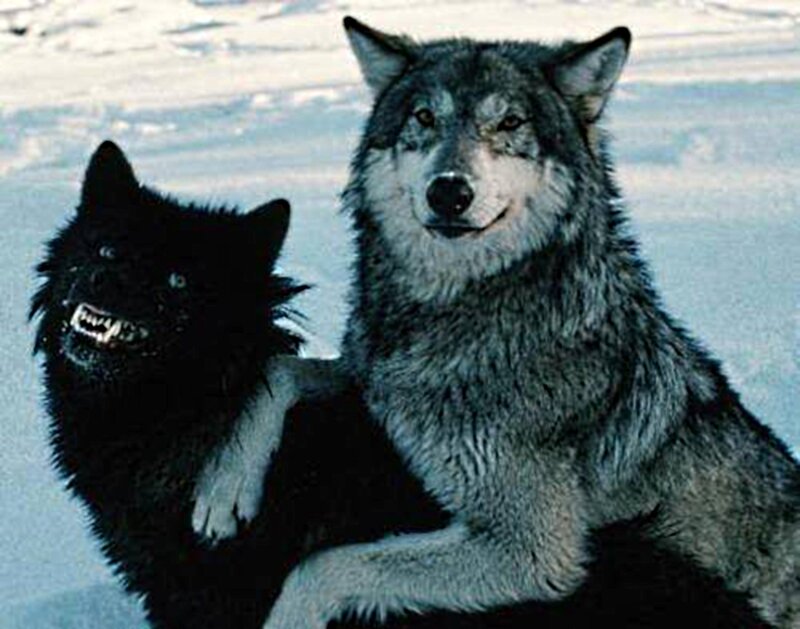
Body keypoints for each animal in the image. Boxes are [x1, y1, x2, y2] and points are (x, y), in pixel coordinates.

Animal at [193, 17, 800, 629]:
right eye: (424, 117)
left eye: (510, 123)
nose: (449, 190)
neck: (456, 312)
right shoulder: (370, 377)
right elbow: (280, 370)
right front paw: (223, 490)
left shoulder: (534, 552)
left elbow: (323, 565)